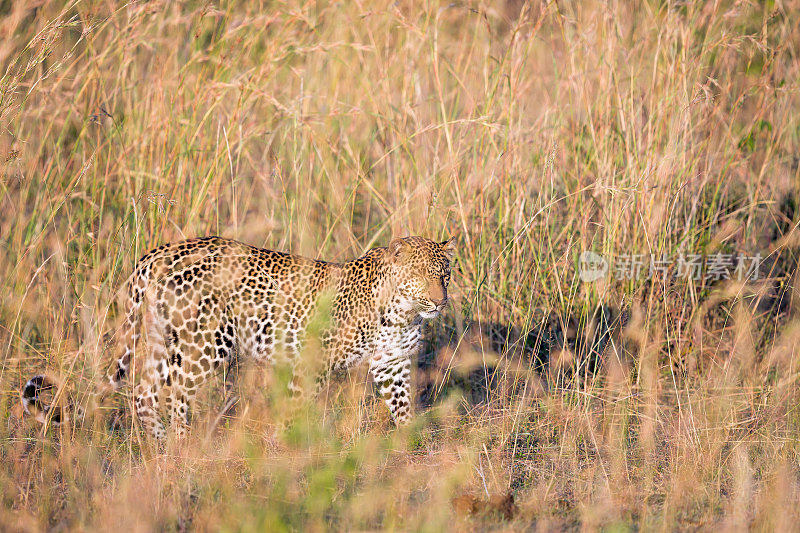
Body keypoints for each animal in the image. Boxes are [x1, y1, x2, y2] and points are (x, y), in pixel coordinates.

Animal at [20, 235, 456, 438]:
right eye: (420, 276)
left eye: (444, 275)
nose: (440, 302)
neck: (401, 314)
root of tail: (159, 253)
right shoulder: (311, 361)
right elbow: (299, 409)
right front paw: (294, 448)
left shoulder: (393, 364)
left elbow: (402, 407)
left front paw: (408, 446)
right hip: (205, 343)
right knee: (175, 392)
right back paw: (182, 445)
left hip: (165, 339)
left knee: (144, 391)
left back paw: (159, 444)